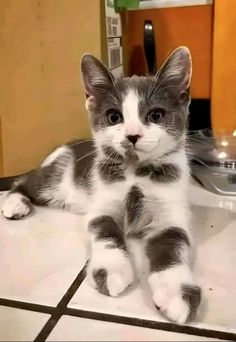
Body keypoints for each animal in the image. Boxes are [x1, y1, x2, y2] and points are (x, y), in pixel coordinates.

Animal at [1, 46, 201, 324]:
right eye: (114, 117)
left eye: (156, 115)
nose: (132, 135)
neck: (136, 172)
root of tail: (64, 148)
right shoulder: (102, 205)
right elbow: (105, 231)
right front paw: (112, 269)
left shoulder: (171, 213)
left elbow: (173, 244)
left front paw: (176, 290)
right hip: (57, 182)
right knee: (25, 181)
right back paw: (15, 203)